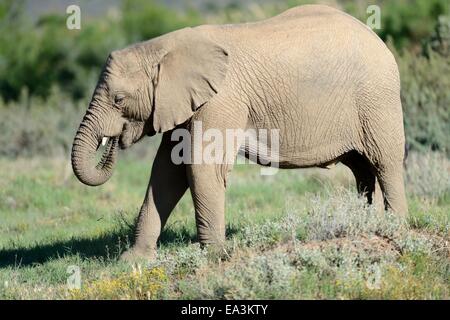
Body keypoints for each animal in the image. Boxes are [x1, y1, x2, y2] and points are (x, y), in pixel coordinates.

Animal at [70, 3, 408, 262]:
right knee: (362, 169)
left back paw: (397, 231)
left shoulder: (221, 100)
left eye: (119, 99)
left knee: (385, 162)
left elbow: (200, 168)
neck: (163, 47)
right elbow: (167, 171)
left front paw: (213, 256)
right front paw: (133, 261)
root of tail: (378, 38)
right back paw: (364, 225)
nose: (112, 141)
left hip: (377, 100)